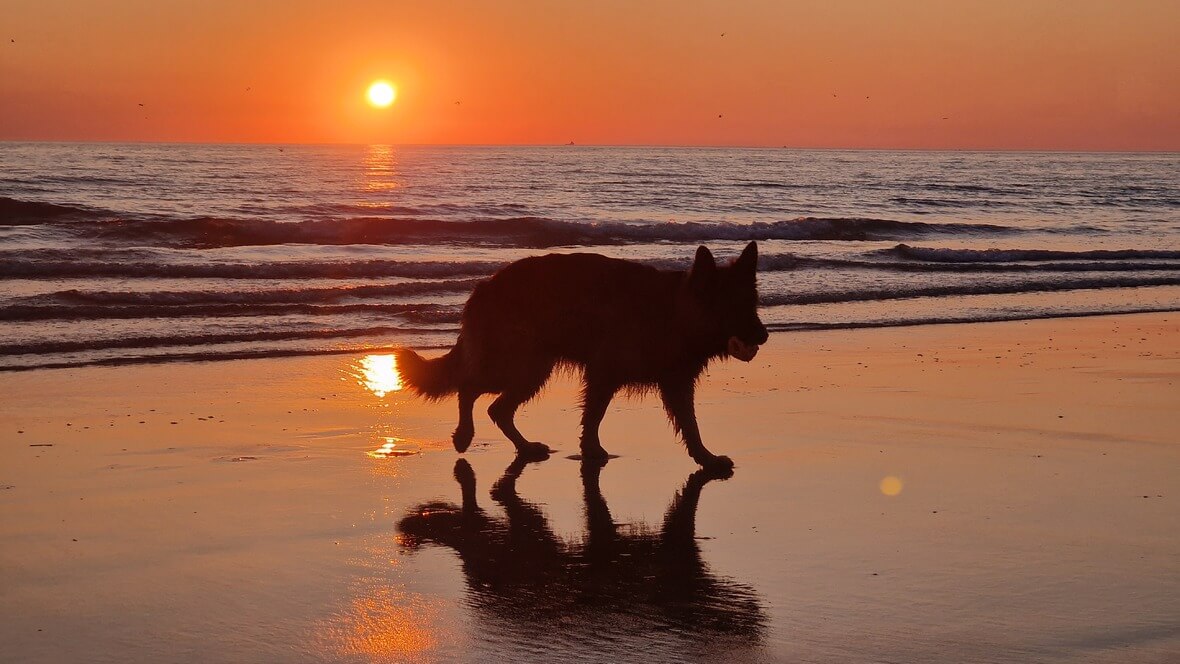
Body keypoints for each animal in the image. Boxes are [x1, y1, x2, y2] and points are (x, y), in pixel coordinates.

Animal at [396, 241, 764, 469]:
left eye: (752, 304)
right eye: (734, 306)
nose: (763, 335)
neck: (675, 313)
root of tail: (484, 286)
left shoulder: (675, 384)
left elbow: (691, 426)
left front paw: (705, 458)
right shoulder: (604, 374)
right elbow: (594, 416)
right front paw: (591, 450)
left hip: (531, 371)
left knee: (496, 408)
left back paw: (524, 447)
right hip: (519, 367)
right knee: (469, 387)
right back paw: (464, 435)